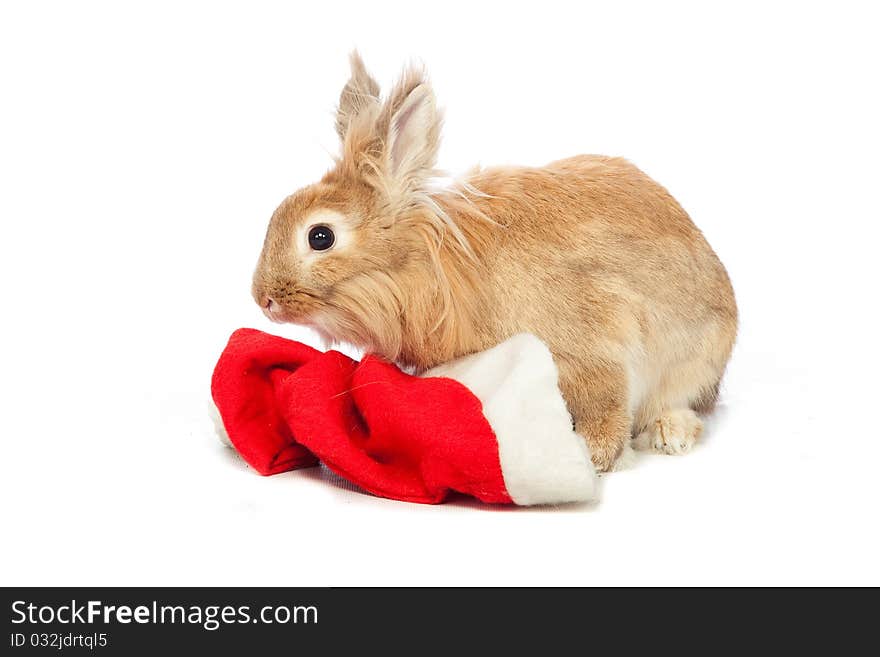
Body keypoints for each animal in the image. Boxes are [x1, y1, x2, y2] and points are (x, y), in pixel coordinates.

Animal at [253, 52, 736, 472]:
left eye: (320, 236)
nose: (262, 299)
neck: (434, 268)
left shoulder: (595, 347)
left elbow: (607, 404)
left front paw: (594, 459)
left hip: (691, 363)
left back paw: (670, 434)